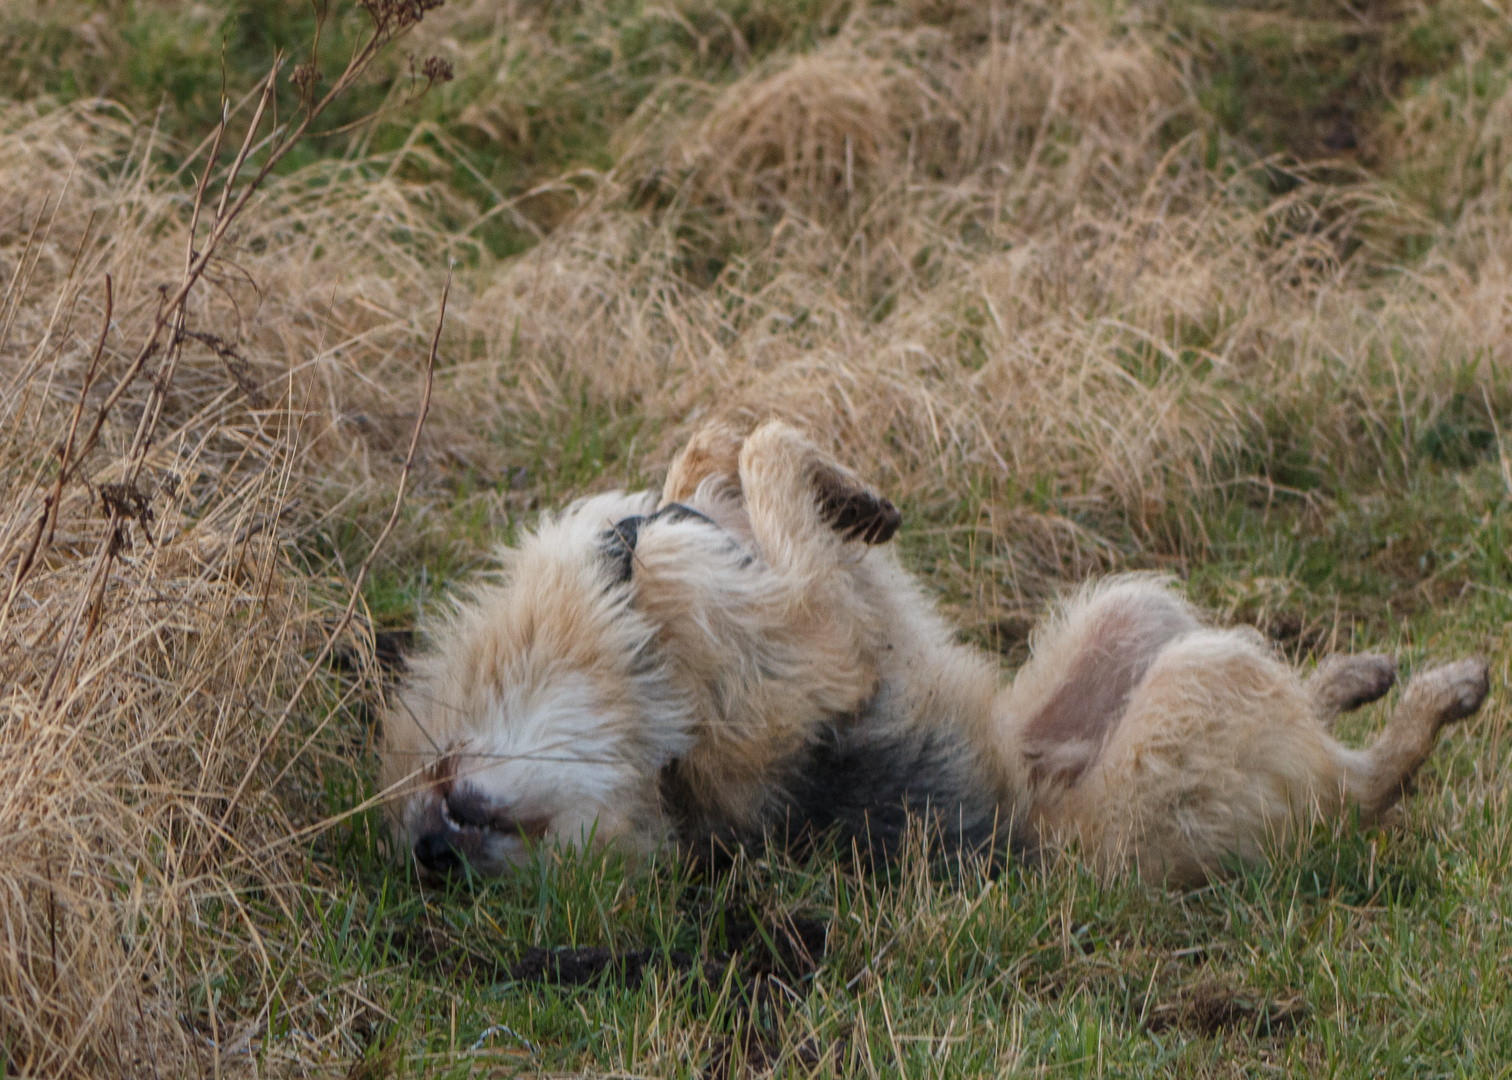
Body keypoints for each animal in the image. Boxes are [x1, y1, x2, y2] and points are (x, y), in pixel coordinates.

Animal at [384, 417, 1493, 877]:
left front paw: (841, 491)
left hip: (1129, 615)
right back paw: (1439, 693)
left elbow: (715, 447)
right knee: (1357, 790)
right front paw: (832, 489)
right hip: (1194, 691)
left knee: (1298, 710)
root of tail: (1042, 821)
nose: (438, 850)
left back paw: (1351, 675)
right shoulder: (816, 638)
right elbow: (764, 448)